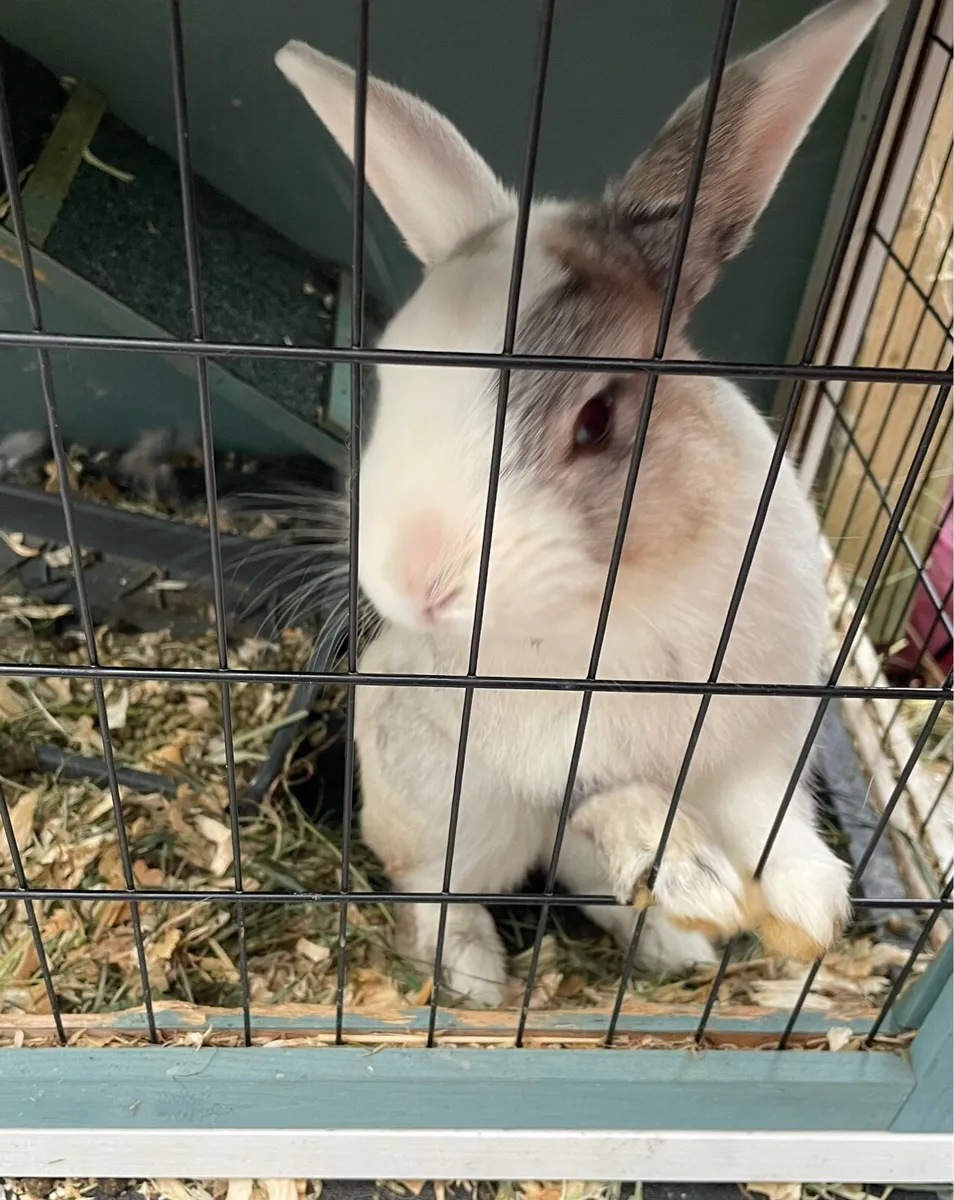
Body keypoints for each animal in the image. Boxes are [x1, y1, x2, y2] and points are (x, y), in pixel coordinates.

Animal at [275, 0, 886, 1006]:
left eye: (597, 417)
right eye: (389, 379)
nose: (414, 583)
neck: (629, 590)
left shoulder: (760, 732)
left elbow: (770, 812)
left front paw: (813, 905)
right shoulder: (553, 754)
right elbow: (615, 799)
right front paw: (696, 878)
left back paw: (675, 945)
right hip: (454, 815)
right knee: (431, 891)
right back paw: (484, 979)